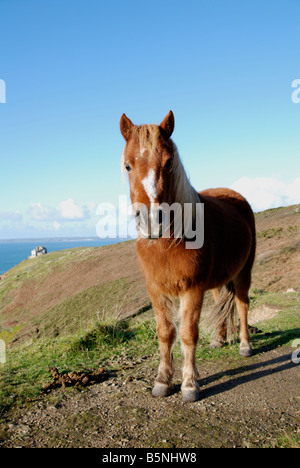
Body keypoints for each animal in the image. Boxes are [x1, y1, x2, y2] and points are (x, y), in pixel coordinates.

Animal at [119, 110, 255, 402]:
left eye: (169, 162)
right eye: (128, 166)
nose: (152, 221)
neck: (168, 243)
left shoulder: (191, 290)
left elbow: (188, 334)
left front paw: (190, 384)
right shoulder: (156, 291)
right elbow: (165, 333)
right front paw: (162, 381)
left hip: (244, 272)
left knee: (242, 305)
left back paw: (245, 345)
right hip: (216, 281)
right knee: (219, 301)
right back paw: (218, 340)